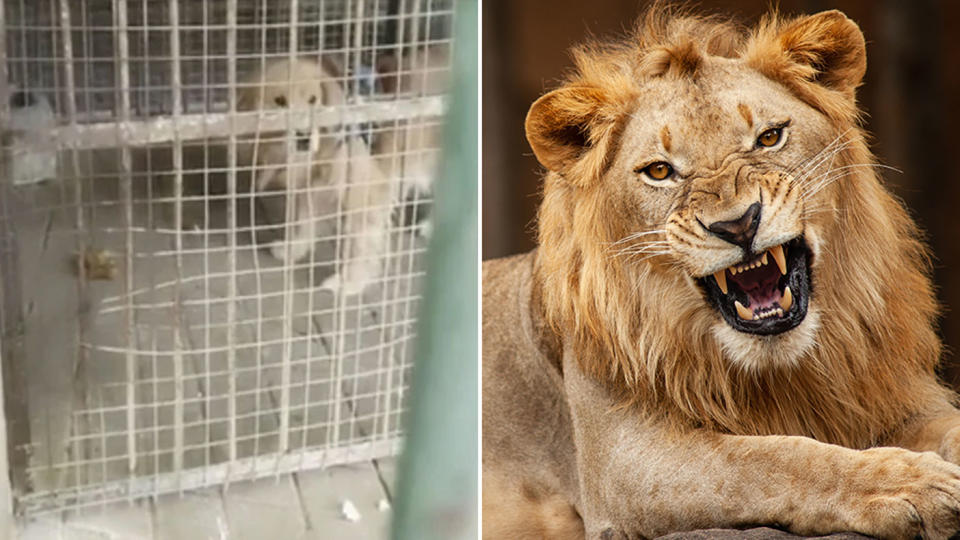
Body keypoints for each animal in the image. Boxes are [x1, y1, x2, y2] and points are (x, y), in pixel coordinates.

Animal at [238, 57, 392, 298]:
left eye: (313, 99)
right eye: (279, 100)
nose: (304, 137)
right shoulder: (303, 188)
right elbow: (303, 223)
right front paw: (292, 250)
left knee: (363, 251)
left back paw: (347, 283)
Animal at [480, 5, 960, 540]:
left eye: (769, 137)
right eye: (660, 171)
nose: (737, 224)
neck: (781, 368)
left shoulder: (896, 399)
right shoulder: (619, 464)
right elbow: (770, 460)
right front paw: (913, 484)